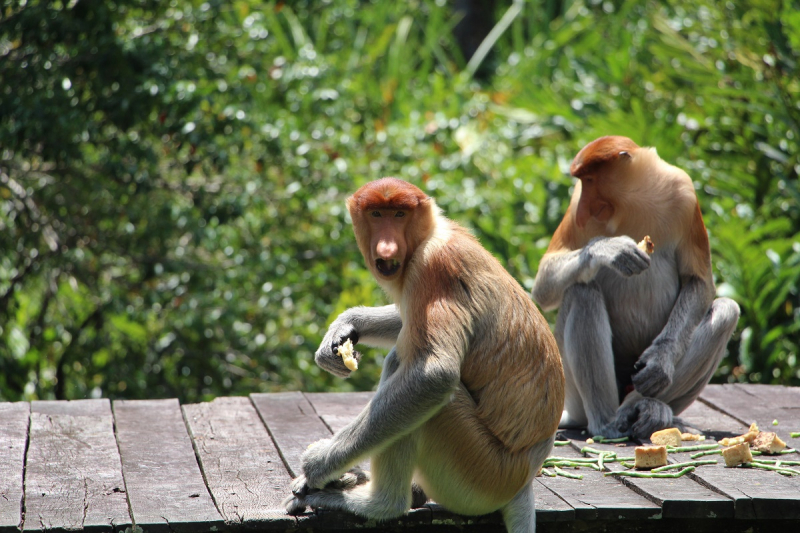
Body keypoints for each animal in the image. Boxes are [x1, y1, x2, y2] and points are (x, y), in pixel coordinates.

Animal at [284, 178, 564, 532]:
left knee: (419, 386)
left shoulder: (434, 269)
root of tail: (526, 477)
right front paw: (343, 328)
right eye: (377, 214)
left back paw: (377, 502)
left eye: (400, 214)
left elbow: (434, 375)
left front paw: (316, 464)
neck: (428, 236)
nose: (386, 247)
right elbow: (405, 320)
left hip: (481, 470)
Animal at [532, 135, 736, 438]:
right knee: (582, 292)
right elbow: (543, 285)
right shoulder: (574, 203)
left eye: (590, 179)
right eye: (582, 181)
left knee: (725, 310)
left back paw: (651, 410)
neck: (633, 199)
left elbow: (698, 281)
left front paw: (659, 362)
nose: (582, 213)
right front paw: (609, 249)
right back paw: (608, 422)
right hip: (572, 392)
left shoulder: (685, 194)